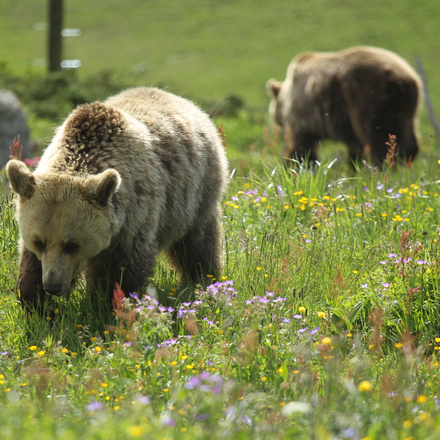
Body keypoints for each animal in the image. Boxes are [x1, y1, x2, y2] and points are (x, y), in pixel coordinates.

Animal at [6, 87, 229, 310]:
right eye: (39, 242)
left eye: (72, 245)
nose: (52, 286)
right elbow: (30, 263)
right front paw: (35, 302)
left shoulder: (133, 216)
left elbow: (120, 271)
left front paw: (105, 303)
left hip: (194, 191)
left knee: (196, 242)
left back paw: (201, 278)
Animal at [266, 46, 422, 167]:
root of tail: (405, 78)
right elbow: (355, 148)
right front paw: (355, 167)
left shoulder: (302, 116)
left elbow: (299, 146)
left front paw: (296, 165)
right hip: (404, 109)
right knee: (407, 138)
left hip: (368, 98)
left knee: (379, 135)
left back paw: (381, 167)